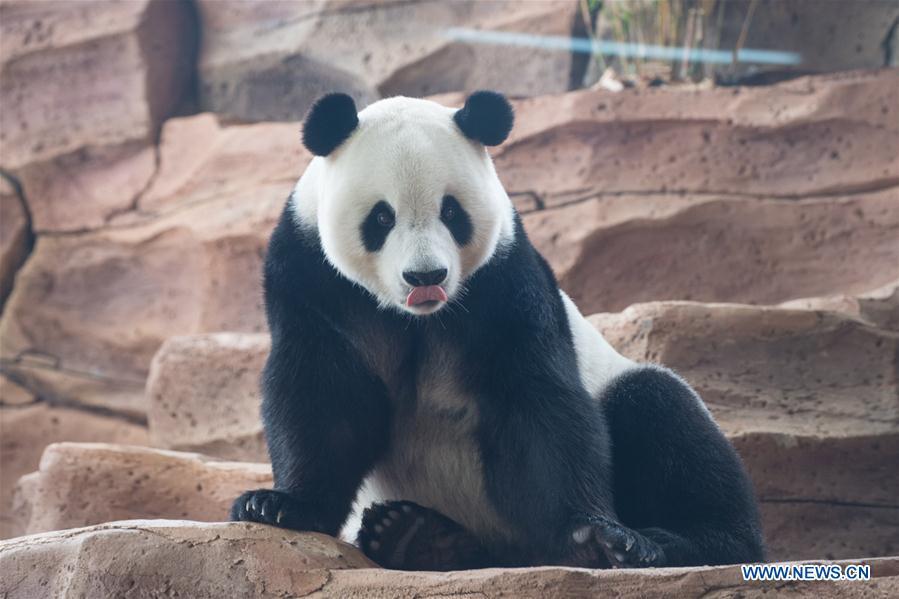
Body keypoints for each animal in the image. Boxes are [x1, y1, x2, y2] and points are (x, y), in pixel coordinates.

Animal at [231, 91, 765, 570]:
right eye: (382, 217)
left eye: (451, 211)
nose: (426, 276)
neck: (420, 318)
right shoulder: (313, 282)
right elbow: (322, 395)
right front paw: (277, 506)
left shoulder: (506, 284)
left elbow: (539, 402)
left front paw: (592, 537)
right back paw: (414, 538)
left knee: (663, 415)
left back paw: (672, 544)